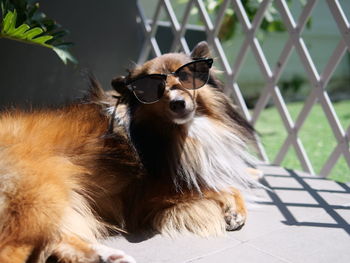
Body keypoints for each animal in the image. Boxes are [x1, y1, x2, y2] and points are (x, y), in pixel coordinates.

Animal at [0, 41, 260, 263]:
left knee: (57, 239)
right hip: (41, 195)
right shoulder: (160, 192)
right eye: (154, 88)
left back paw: (108, 256)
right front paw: (235, 210)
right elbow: (222, 187)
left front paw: (244, 194)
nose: (178, 103)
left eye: (185, 76)